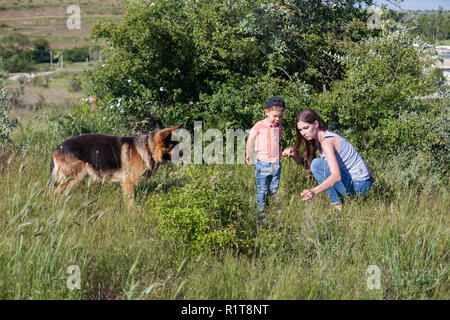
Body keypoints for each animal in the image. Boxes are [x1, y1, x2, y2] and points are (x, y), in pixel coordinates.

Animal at [48, 125, 181, 208]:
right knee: (56, 193)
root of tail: (56, 148)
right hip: (73, 178)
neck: (148, 148)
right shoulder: (129, 183)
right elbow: (131, 203)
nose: (183, 155)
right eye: (174, 146)